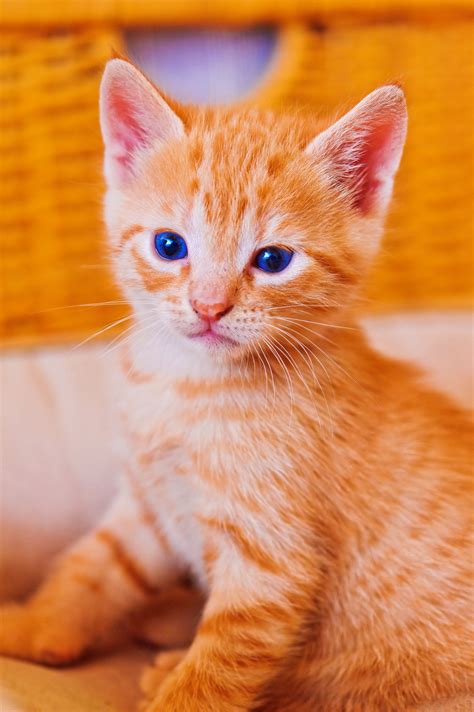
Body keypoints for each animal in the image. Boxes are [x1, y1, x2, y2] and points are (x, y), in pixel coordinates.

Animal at [1, 61, 472, 712]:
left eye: (272, 260)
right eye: (169, 245)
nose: (208, 306)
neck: (188, 387)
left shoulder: (269, 568)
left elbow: (212, 675)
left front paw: (175, 690)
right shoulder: (148, 503)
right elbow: (92, 569)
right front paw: (32, 625)